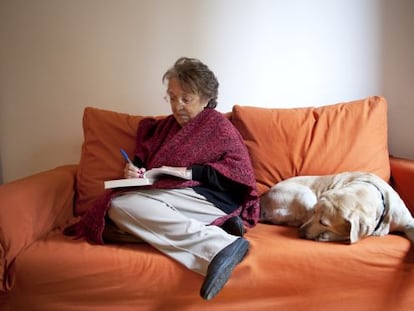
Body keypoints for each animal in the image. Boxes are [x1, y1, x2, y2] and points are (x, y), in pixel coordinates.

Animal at [260, 172, 414, 245]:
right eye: (314, 212)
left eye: (323, 222)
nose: (300, 232)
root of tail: (264, 199)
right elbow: (354, 236)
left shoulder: (408, 221)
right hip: (305, 195)